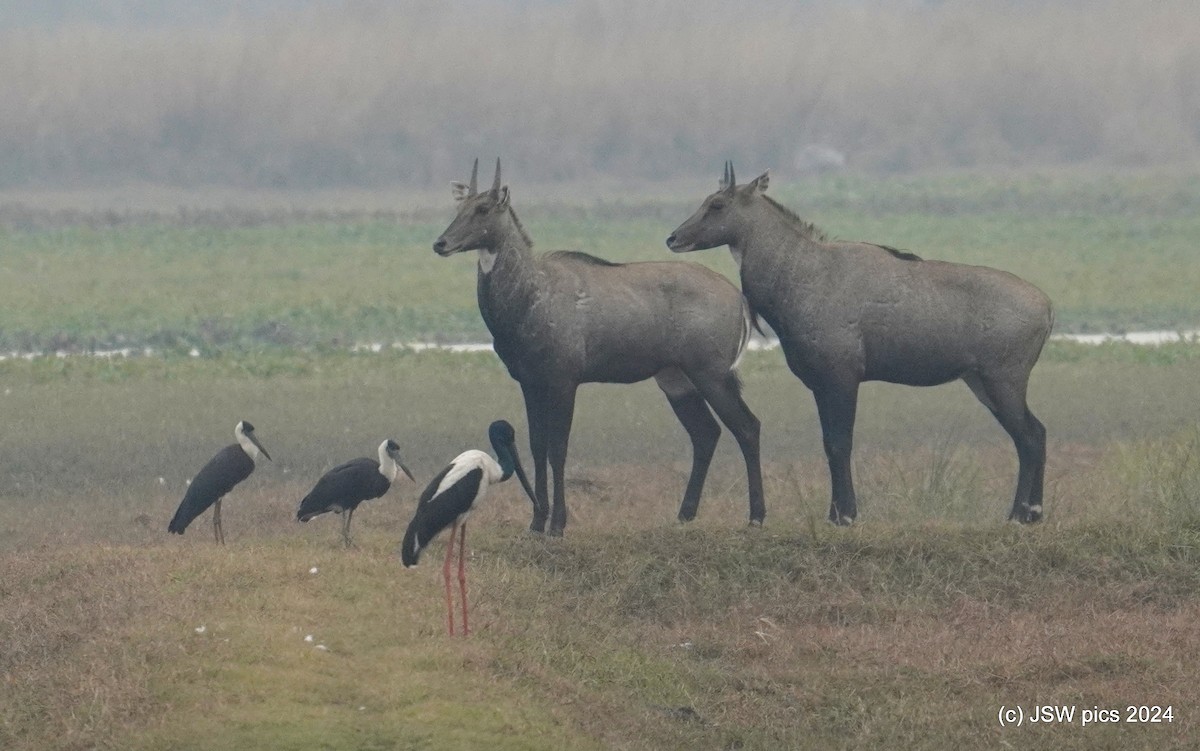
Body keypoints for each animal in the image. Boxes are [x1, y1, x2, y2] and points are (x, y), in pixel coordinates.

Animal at [400, 417, 537, 633]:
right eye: (510, 434)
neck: (487, 466)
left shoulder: (466, 519)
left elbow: (462, 572)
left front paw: (466, 631)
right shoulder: (459, 518)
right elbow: (449, 568)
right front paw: (454, 633)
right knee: (445, 567)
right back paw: (450, 631)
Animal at [436, 159, 763, 532]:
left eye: (483, 209)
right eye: (459, 207)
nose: (441, 243)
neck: (527, 299)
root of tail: (740, 299)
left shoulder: (564, 380)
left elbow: (558, 449)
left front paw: (558, 525)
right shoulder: (530, 382)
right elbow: (537, 446)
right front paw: (536, 523)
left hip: (711, 373)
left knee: (747, 427)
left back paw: (756, 516)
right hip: (676, 378)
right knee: (706, 433)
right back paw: (683, 515)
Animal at [667, 161, 1051, 525]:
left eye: (717, 204)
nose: (672, 238)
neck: (799, 279)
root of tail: (1047, 308)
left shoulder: (843, 375)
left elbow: (841, 443)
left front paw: (847, 514)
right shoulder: (818, 382)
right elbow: (828, 443)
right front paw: (834, 513)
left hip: (1004, 379)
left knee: (1030, 436)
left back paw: (1021, 513)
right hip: (980, 381)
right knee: (1035, 433)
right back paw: (1031, 513)